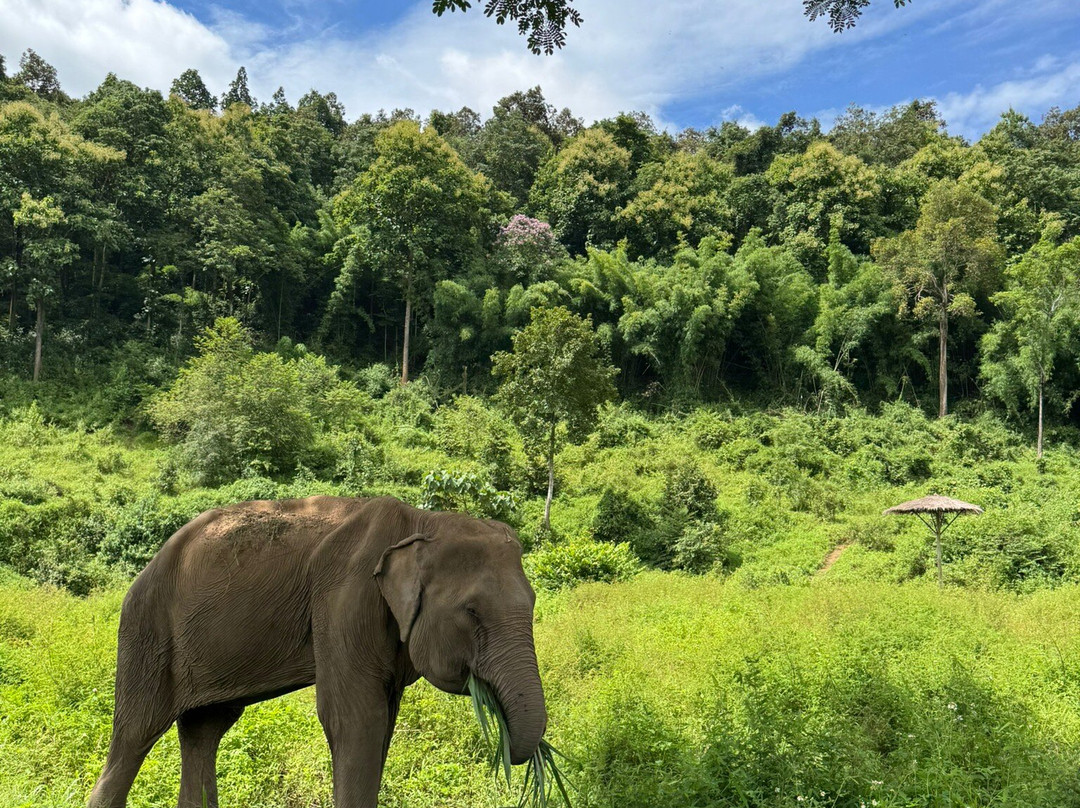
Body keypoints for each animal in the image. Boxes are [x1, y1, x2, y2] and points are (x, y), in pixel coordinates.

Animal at [88, 495, 547, 808]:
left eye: (533, 603)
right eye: (472, 612)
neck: (422, 522)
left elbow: (383, 720)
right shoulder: (344, 598)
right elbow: (355, 717)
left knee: (205, 728)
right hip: (147, 630)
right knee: (136, 730)